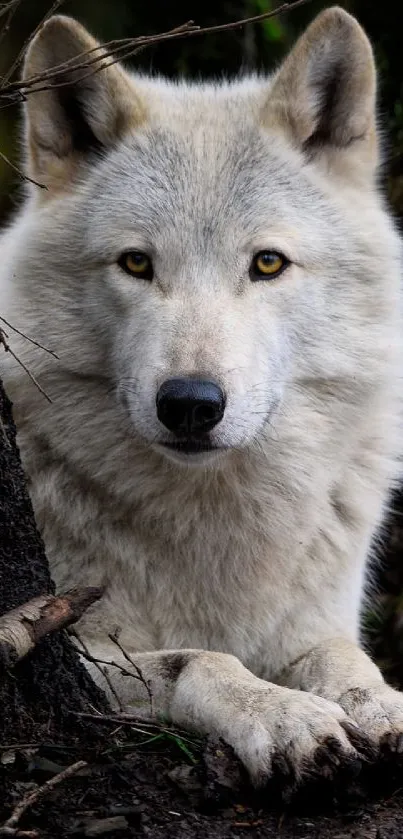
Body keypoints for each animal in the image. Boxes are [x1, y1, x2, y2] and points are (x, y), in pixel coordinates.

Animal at [0, 5, 402, 787]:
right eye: (136, 263)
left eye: (267, 263)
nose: (189, 402)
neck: (215, 522)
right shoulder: (83, 645)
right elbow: (203, 659)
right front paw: (285, 716)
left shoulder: (317, 622)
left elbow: (347, 660)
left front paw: (381, 704)